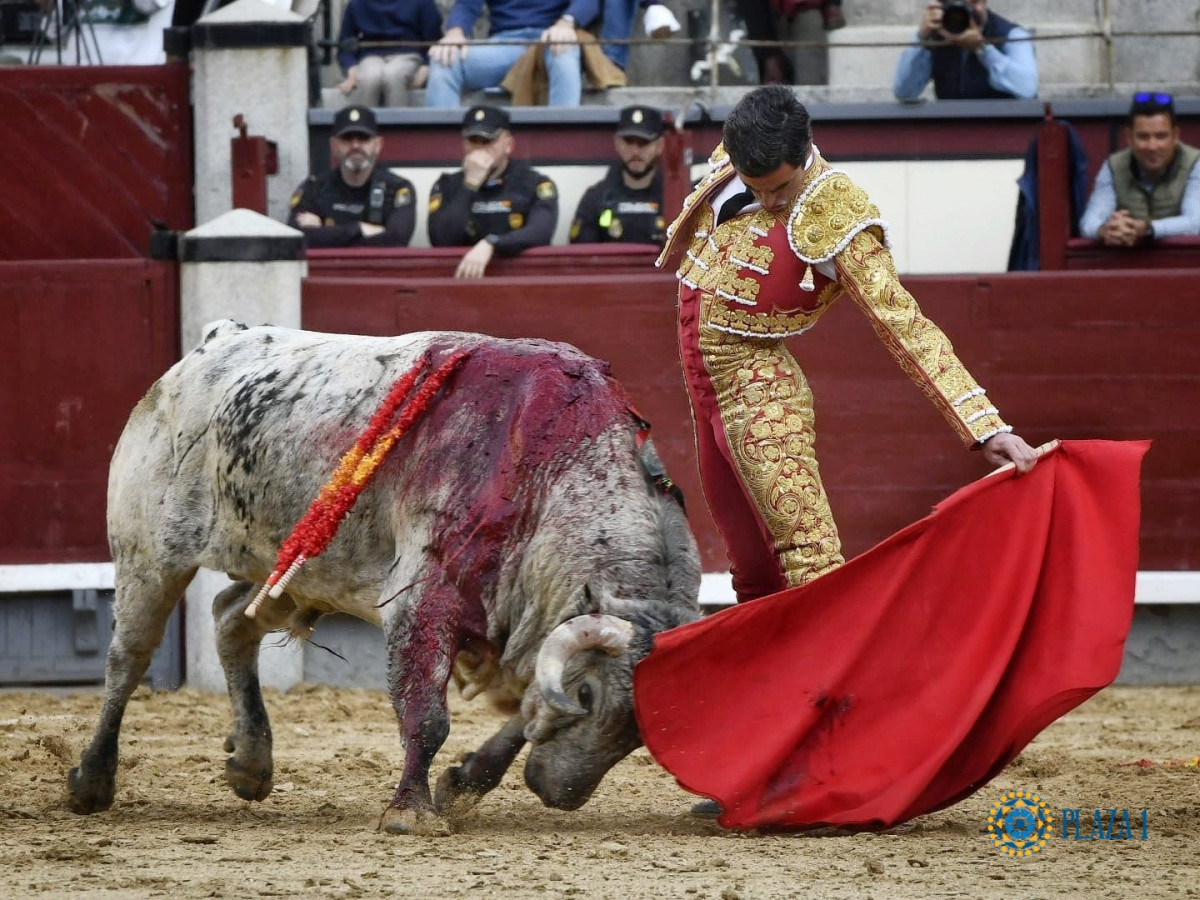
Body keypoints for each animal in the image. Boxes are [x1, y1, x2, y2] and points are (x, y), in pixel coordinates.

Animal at [68, 321, 700, 835]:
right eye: (588, 695)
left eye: (641, 731)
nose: (561, 794)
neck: (547, 473)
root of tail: (214, 343)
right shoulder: (423, 602)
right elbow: (427, 715)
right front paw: (411, 813)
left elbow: (524, 713)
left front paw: (462, 783)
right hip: (150, 554)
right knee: (130, 656)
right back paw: (92, 781)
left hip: (296, 569)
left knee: (231, 620)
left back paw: (250, 763)